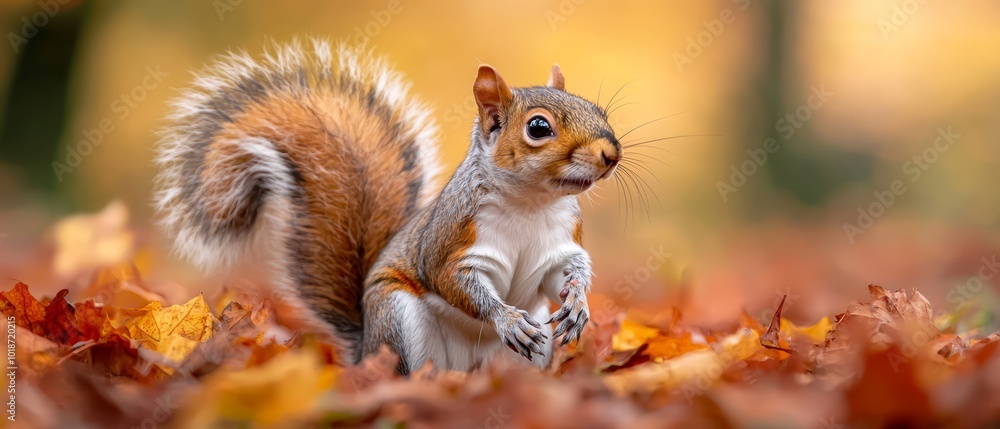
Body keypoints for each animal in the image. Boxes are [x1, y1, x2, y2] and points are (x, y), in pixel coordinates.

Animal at [154, 40, 622, 374]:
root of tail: (364, 350)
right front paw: (506, 317)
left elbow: (564, 274)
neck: (531, 202)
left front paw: (578, 304)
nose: (611, 153)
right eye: (538, 127)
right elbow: (453, 280)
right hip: (397, 318)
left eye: (598, 110)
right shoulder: (450, 241)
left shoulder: (560, 245)